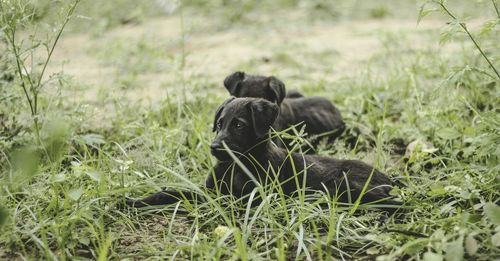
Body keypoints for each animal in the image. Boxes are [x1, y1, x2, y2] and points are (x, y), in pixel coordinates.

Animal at [126, 96, 402, 210]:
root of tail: (389, 179)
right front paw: (134, 201)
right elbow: (171, 192)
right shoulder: (209, 191)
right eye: (219, 123)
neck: (236, 166)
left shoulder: (245, 198)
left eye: (239, 125)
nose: (214, 148)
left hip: (343, 183)